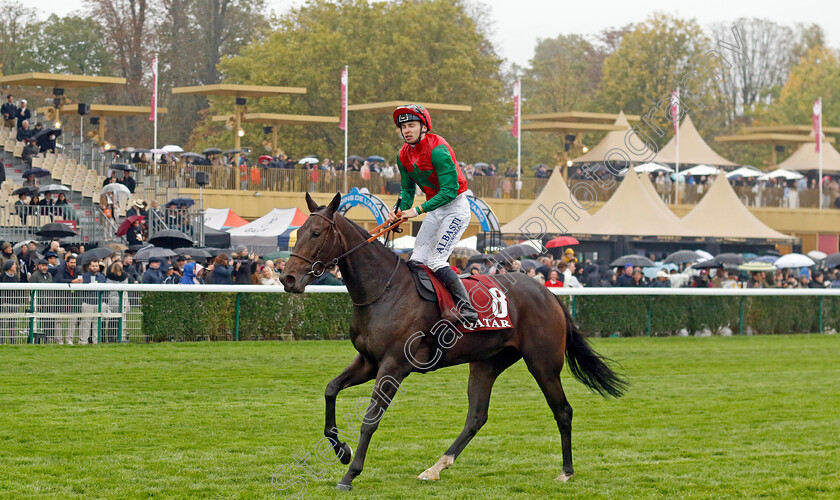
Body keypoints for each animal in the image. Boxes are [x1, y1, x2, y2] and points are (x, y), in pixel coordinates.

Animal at [278, 193, 628, 490]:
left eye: (316, 233)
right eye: (299, 231)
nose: (288, 278)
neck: (384, 290)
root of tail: (548, 293)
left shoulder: (393, 366)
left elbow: (369, 419)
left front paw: (350, 474)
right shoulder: (368, 361)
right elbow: (330, 390)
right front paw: (342, 451)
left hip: (543, 363)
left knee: (563, 411)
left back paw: (566, 471)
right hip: (487, 363)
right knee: (476, 417)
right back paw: (436, 466)